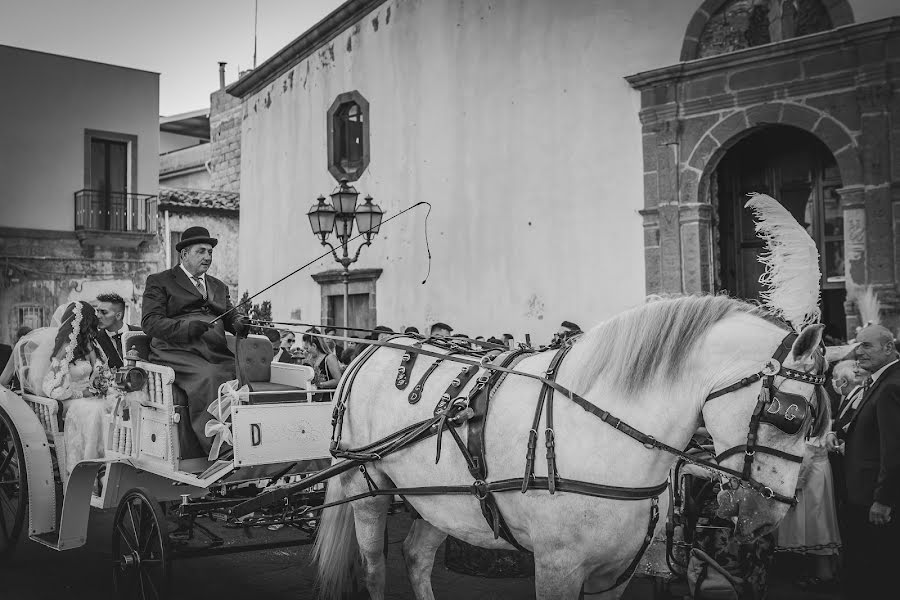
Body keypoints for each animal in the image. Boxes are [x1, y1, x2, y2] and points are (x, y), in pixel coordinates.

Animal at [312, 292, 828, 596]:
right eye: (790, 416)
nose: (770, 514)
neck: (598, 429)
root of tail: (371, 349)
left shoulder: (616, 573)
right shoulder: (557, 567)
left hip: (441, 499)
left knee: (417, 557)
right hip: (366, 485)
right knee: (376, 567)